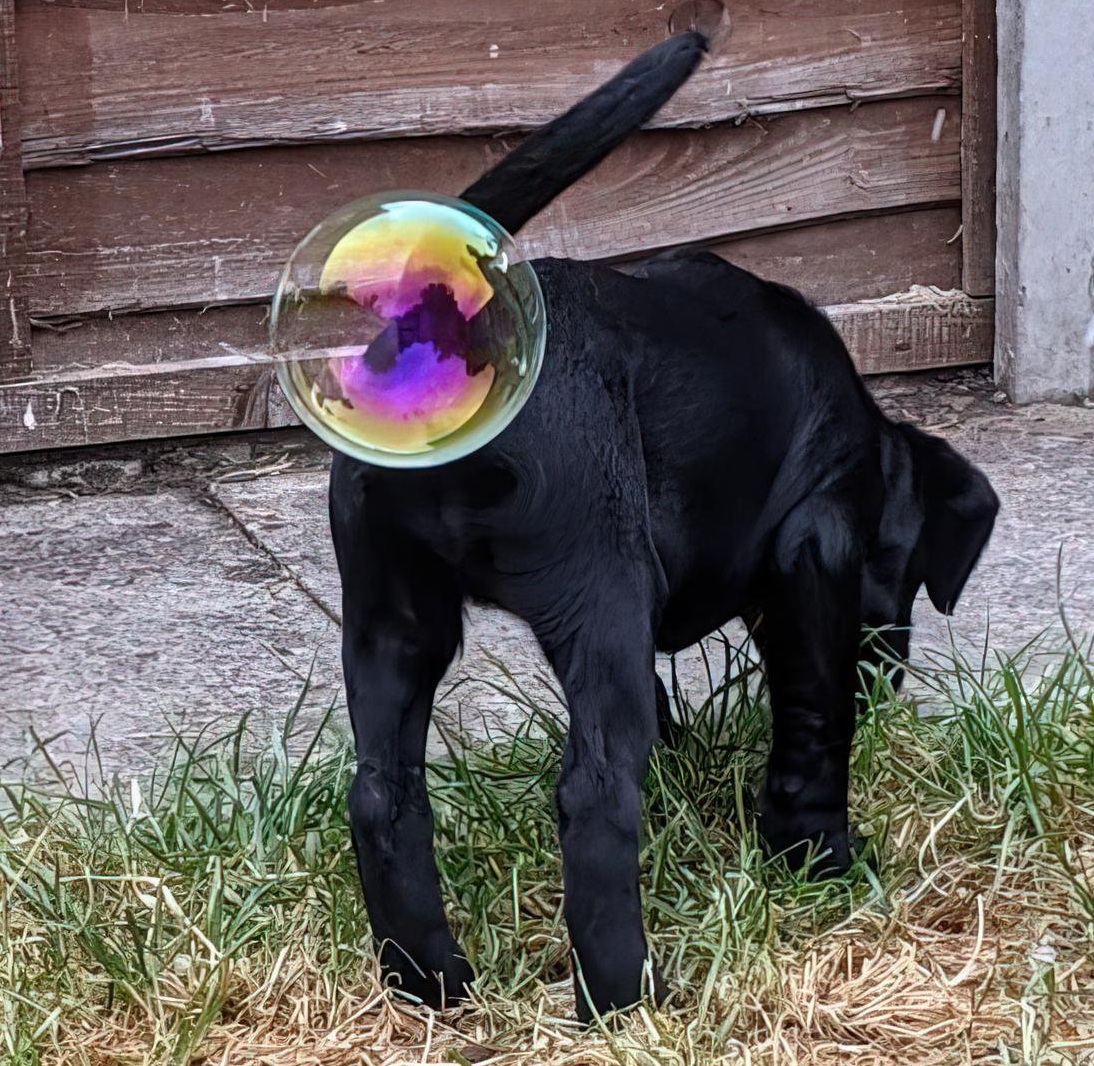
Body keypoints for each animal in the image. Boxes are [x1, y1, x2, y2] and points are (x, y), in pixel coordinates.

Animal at [323, 31, 1002, 1020]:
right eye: (907, 569)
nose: (891, 671)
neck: (859, 442)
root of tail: (462, 332)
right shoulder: (815, 552)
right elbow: (814, 717)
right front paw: (818, 854)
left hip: (391, 613)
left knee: (383, 794)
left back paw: (429, 978)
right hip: (598, 586)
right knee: (596, 794)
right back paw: (625, 997)